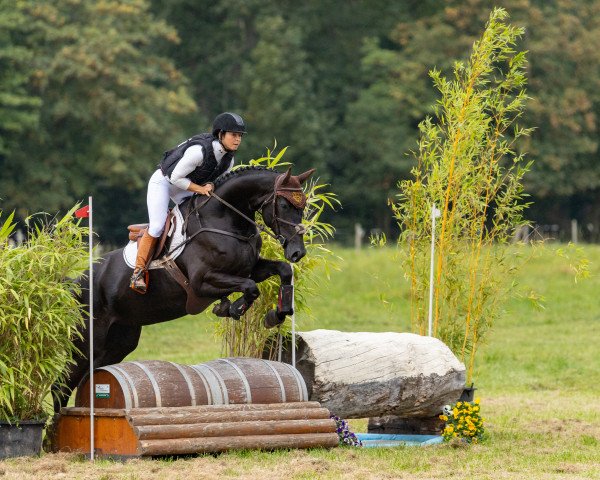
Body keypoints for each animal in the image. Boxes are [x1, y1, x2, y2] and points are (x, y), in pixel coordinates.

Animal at [52, 166, 314, 412]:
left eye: (303, 206)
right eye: (284, 204)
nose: (297, 252)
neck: (224, 221)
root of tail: (76, 283)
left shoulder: (250, 269)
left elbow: (283, 271)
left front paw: (276, 314)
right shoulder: (202, 282)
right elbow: (250, 288)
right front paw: (233, 308)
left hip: (120, 340)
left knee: (88, 376)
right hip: (88, 340)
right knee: (62, 383)